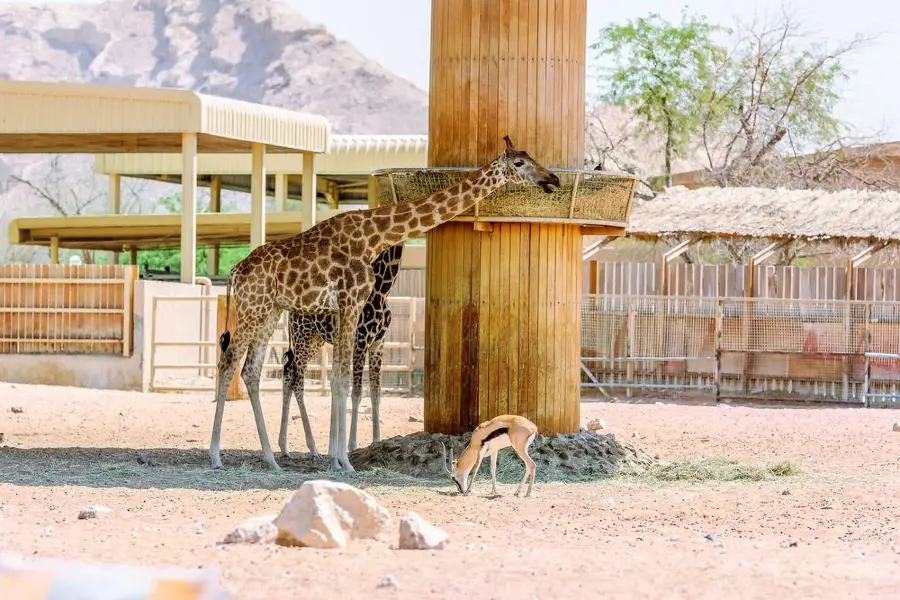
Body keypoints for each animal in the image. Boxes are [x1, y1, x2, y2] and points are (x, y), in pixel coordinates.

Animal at [274, 241, 400, 458]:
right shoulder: (360, 340)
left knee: (289, 374)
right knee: (296, 379)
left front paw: (377, 441)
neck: (383, 289)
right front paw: (352, 445)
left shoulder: (378, 343)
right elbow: (357, 393)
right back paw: (311, 448)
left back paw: (286, 447)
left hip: (315, 340)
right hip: (302, 337)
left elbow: (376, 393)